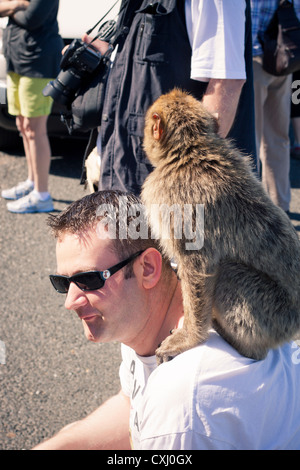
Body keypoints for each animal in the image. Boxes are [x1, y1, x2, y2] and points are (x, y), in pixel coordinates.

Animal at [141, 90, 300, 366]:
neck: (189, 150)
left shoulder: (174, 199)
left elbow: (198, 265)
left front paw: (189, 338)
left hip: (275, 317)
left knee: (229, 273)